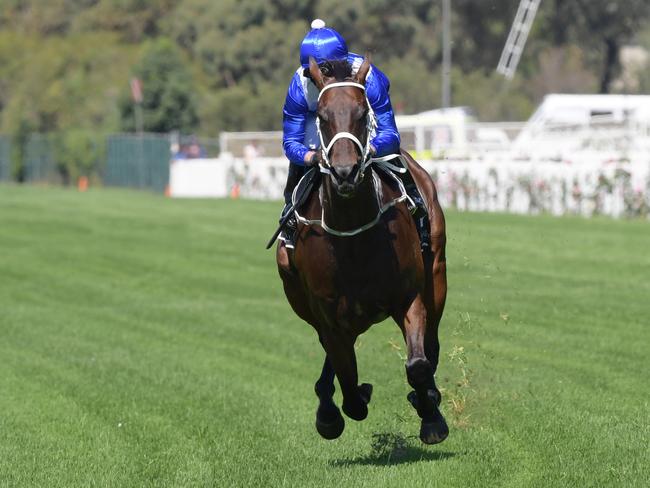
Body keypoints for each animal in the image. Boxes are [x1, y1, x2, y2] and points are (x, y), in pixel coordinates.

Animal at [274, 57, 446, 446]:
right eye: (322, 116)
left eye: (362, 111)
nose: (345, 172)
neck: (354, 234)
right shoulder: (329, 315)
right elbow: (348, 382)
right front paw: (336, 412)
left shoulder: (408, 296)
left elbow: (417, 365)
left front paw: (431, 417)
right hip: (303, 302)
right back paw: (327, 405)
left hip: (437, 272)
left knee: (431, 344)